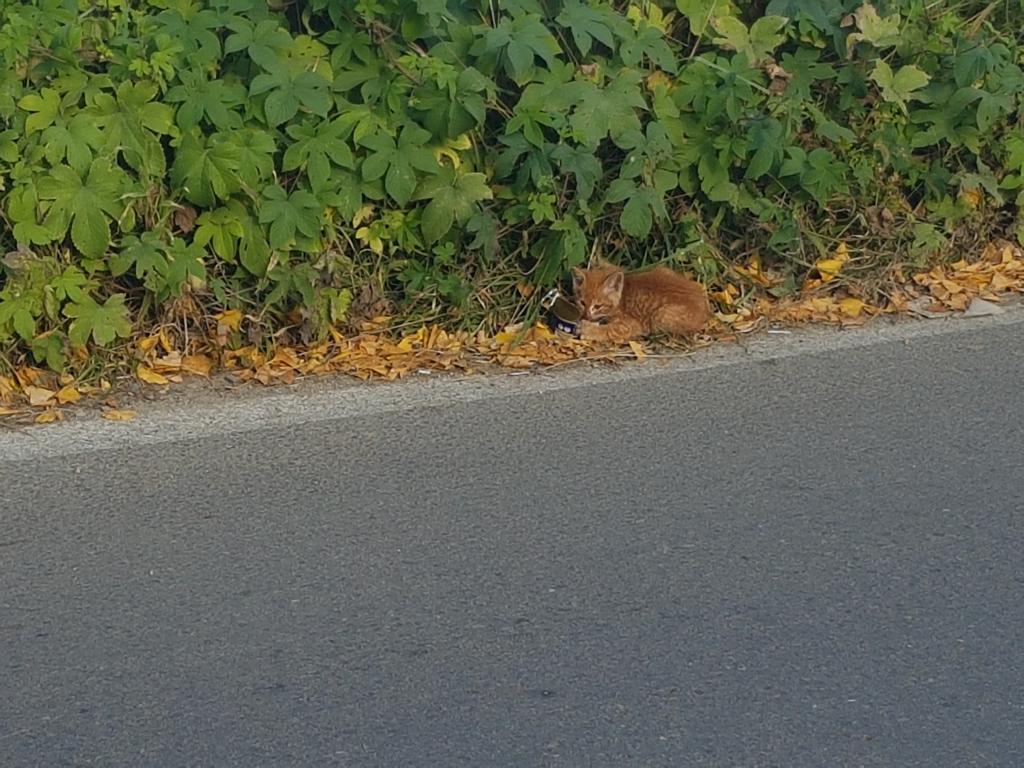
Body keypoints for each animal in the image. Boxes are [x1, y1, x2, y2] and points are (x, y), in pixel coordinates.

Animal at [573, 262, 708, 342]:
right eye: (582, 303)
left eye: (597, 306)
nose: (585, 316)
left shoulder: (630, 325)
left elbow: (609, 330)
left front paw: (588, 329)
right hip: (662, 269)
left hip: (660, 315)